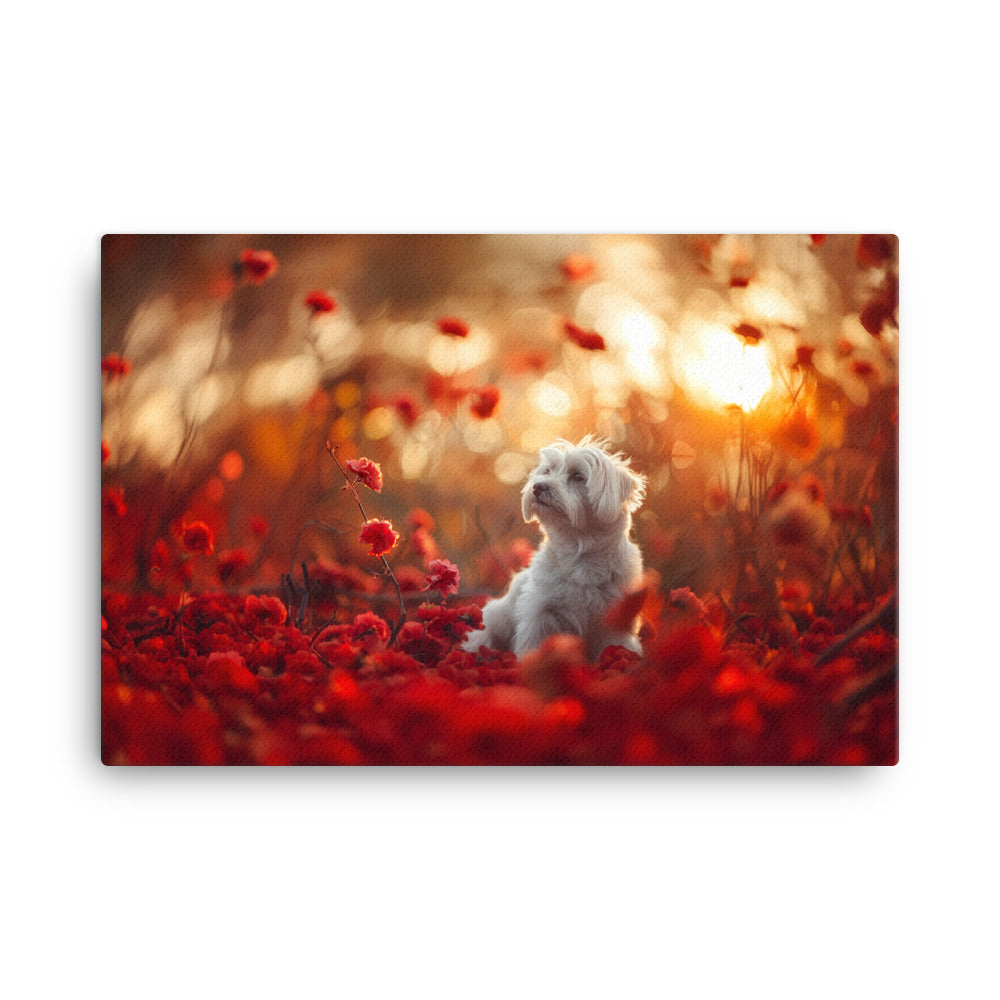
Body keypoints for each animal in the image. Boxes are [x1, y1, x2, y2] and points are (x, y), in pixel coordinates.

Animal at [462, 440, 648, 664]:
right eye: (548, 471)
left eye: (578, 476)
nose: (538, 486)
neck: (579, 553)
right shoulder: (540, 614)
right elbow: (532, 643)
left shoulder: (616, 623)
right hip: (498, 619)